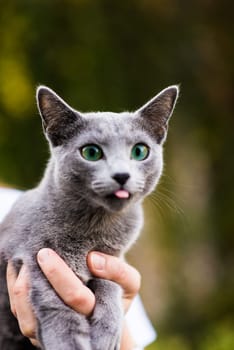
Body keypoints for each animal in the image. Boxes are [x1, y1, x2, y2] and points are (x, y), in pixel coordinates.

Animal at [0, 83, 177, 348]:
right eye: (91, 152)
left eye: (139, 151)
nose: (121, 175)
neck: (95, 229)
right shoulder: (34, 257)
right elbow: (57, 309)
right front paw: (68, 343)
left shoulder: (112, 257)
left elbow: (110, 285)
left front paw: (107, 333)